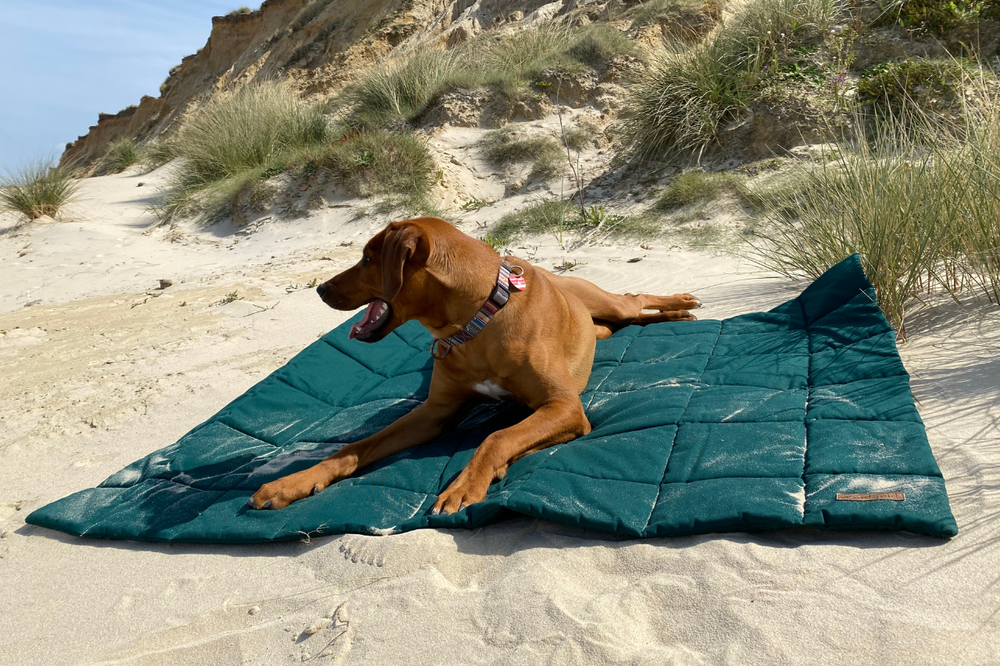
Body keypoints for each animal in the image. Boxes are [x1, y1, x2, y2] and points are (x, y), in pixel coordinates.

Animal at [247, 218, 700, 512]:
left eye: (367, 260)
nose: (321, 289)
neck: (475, 322)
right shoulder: (435, 413)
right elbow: (356, 446)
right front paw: (293, 482)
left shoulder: (565, 406)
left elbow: (496, 437)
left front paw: (466, 484)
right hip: (598, 322)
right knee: (619, 322)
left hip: (602, 300)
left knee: (633, 300)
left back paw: (679, 304)